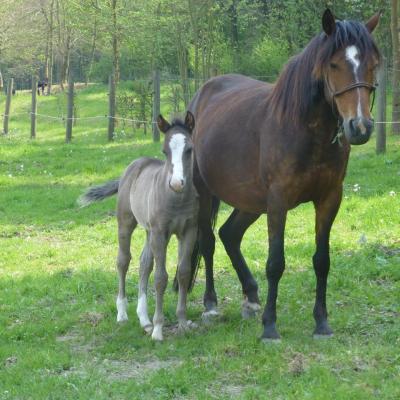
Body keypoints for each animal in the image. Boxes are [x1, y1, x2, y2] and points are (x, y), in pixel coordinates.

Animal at [79, 112, 198, 340]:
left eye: (189, 149)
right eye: (165, 151)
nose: (176, 183)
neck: (177, 199)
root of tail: (133, 166)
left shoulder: (188, 231)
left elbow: (183, 273)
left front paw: (182, 323)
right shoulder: (160, 232)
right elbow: (161, 277)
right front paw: (159, 330)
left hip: (149, 231)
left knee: (144, 264)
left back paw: (144, 320)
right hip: (126, 223)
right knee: (123, 261)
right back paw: (123, 314)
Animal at [188, 8, 382, 340]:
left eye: (371, 64)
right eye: (333, 64)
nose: (359, 127)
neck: (304, 129)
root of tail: (202, 94)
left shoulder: (329, 198)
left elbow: (322, 260)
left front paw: (321, 323)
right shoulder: (278, 201)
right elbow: (275, 263)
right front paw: (270, 327)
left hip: (250, 201)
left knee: (230, 234)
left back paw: (251, 298)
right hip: (205, 193)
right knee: (208, 240)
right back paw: (211, 304)